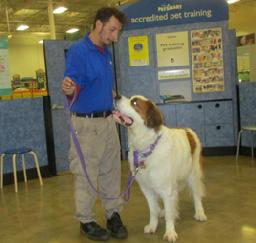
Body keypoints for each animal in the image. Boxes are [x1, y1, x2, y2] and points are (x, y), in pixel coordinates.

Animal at [113, 94, 207, 241]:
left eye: (134, 102)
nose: (116, 96)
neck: (147, 146)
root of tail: (188, 131)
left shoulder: (166, 188)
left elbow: (169, 213)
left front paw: (170, 232)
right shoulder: (147, 189)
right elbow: (153, 210)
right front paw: (153, 226)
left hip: (192, 174)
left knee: (196, 194)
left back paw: (199, 213)